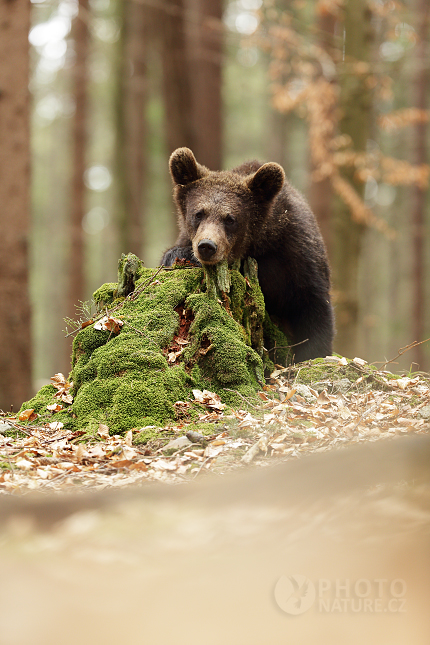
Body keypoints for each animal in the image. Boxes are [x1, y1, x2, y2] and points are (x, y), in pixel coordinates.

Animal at [160, 148, 334, 364]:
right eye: (199, 213)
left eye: (230, 219)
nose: (207, 246)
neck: (258, 244)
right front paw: (180, 255)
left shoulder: (296, 256)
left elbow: (313, 308)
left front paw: (313, 353)